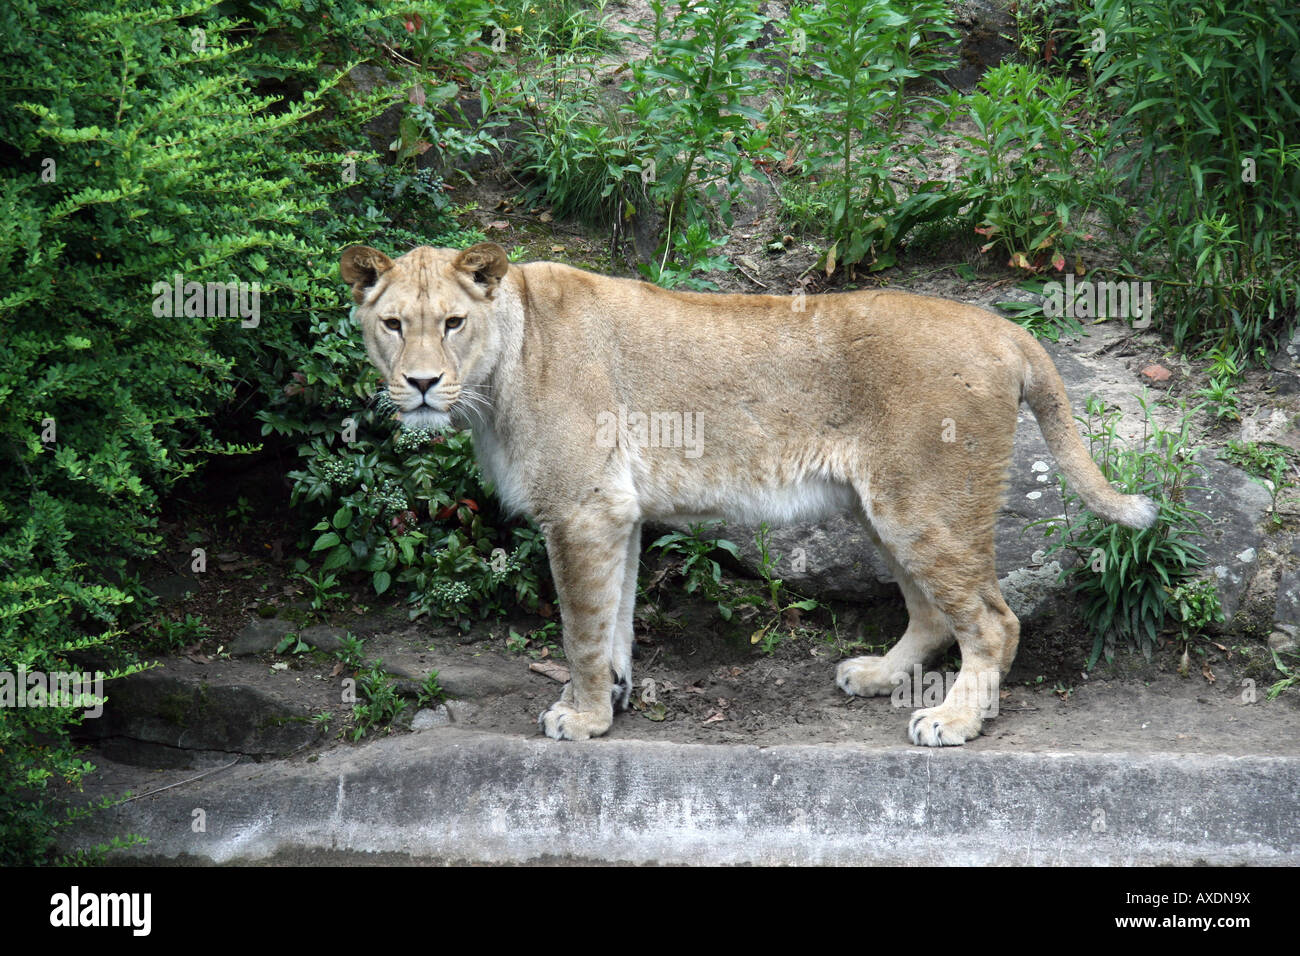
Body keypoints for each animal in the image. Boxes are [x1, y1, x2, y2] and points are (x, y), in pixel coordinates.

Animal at [340, 242, 1157, 746]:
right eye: (392, 324)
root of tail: (1003, 328)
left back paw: (953, 721)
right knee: (931, 611)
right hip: (884, 509)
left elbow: (579, 628)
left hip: (926, 505)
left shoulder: (581, 511)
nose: (420, 384)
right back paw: (878, 676)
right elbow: (616, 617)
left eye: (453, 322)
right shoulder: (618, 513)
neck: (500, 368)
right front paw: (617, 695)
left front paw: (583, 717)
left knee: (992, 620)